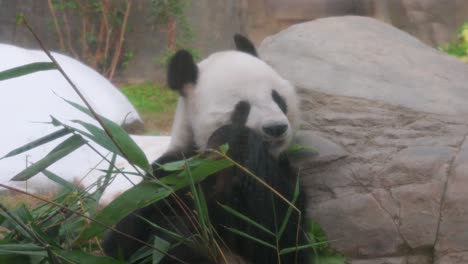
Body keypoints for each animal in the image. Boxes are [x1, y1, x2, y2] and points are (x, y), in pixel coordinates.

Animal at [102, 35, 310, 264]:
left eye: (278, 99)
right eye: (242, 107)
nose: (276, 128)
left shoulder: (283, 172)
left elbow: (278, 236)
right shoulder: (175, 170)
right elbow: (123, 236)